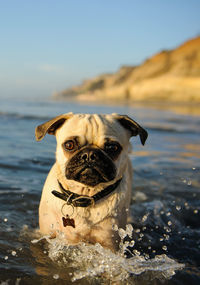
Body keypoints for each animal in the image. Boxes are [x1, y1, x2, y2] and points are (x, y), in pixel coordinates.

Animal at [34, 112, 148, 250]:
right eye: (69, 145)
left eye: (112, 147)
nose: (89, 154)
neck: (85, 195)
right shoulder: (47, 235)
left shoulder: (109, 243)